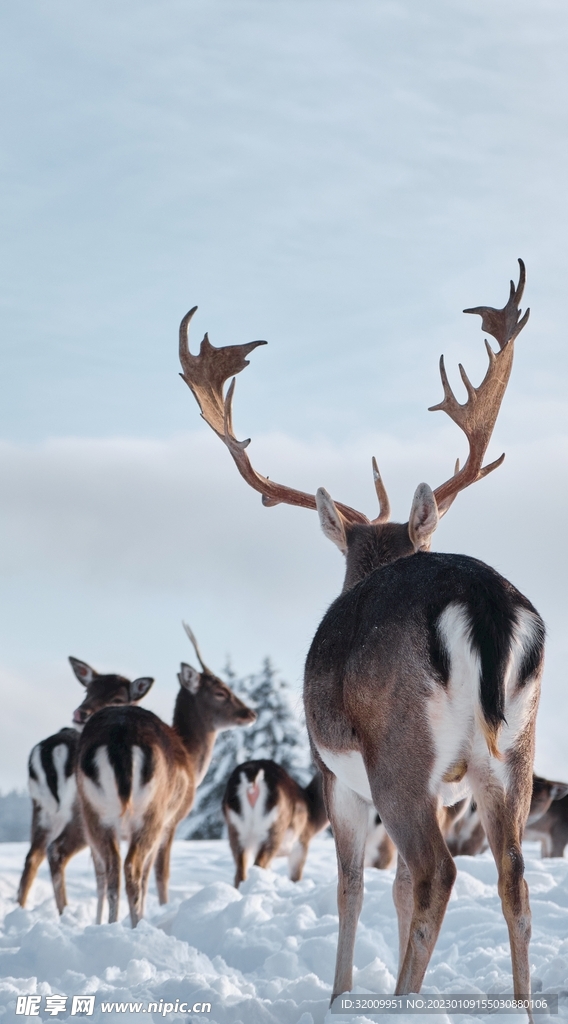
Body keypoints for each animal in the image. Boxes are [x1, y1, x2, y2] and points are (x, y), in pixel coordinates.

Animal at [17, 658, 154, 913]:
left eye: (117, 698)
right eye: (88, 690)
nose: (81, 713)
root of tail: (53, 751)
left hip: (41, 809)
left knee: (33, 856)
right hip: (79, 813)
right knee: (56, 852)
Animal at [76, 624, 256, 926]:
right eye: (221, 691)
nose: (250, 713)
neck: (192, 760)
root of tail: (118, 738)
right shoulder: (172, 821)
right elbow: (160, 873)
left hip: (95, 814)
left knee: (111, 870)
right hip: (151, 813)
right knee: (133, 868)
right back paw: (135, 926)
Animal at [179, 260, 546, 1009]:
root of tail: (484, 600)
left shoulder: (334, 774)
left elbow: (351, 884)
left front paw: (339, 995)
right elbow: (394, 888)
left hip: (398, 749)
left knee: (438, 872)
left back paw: (403, 1003)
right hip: (515, 749)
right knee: (510, 878)